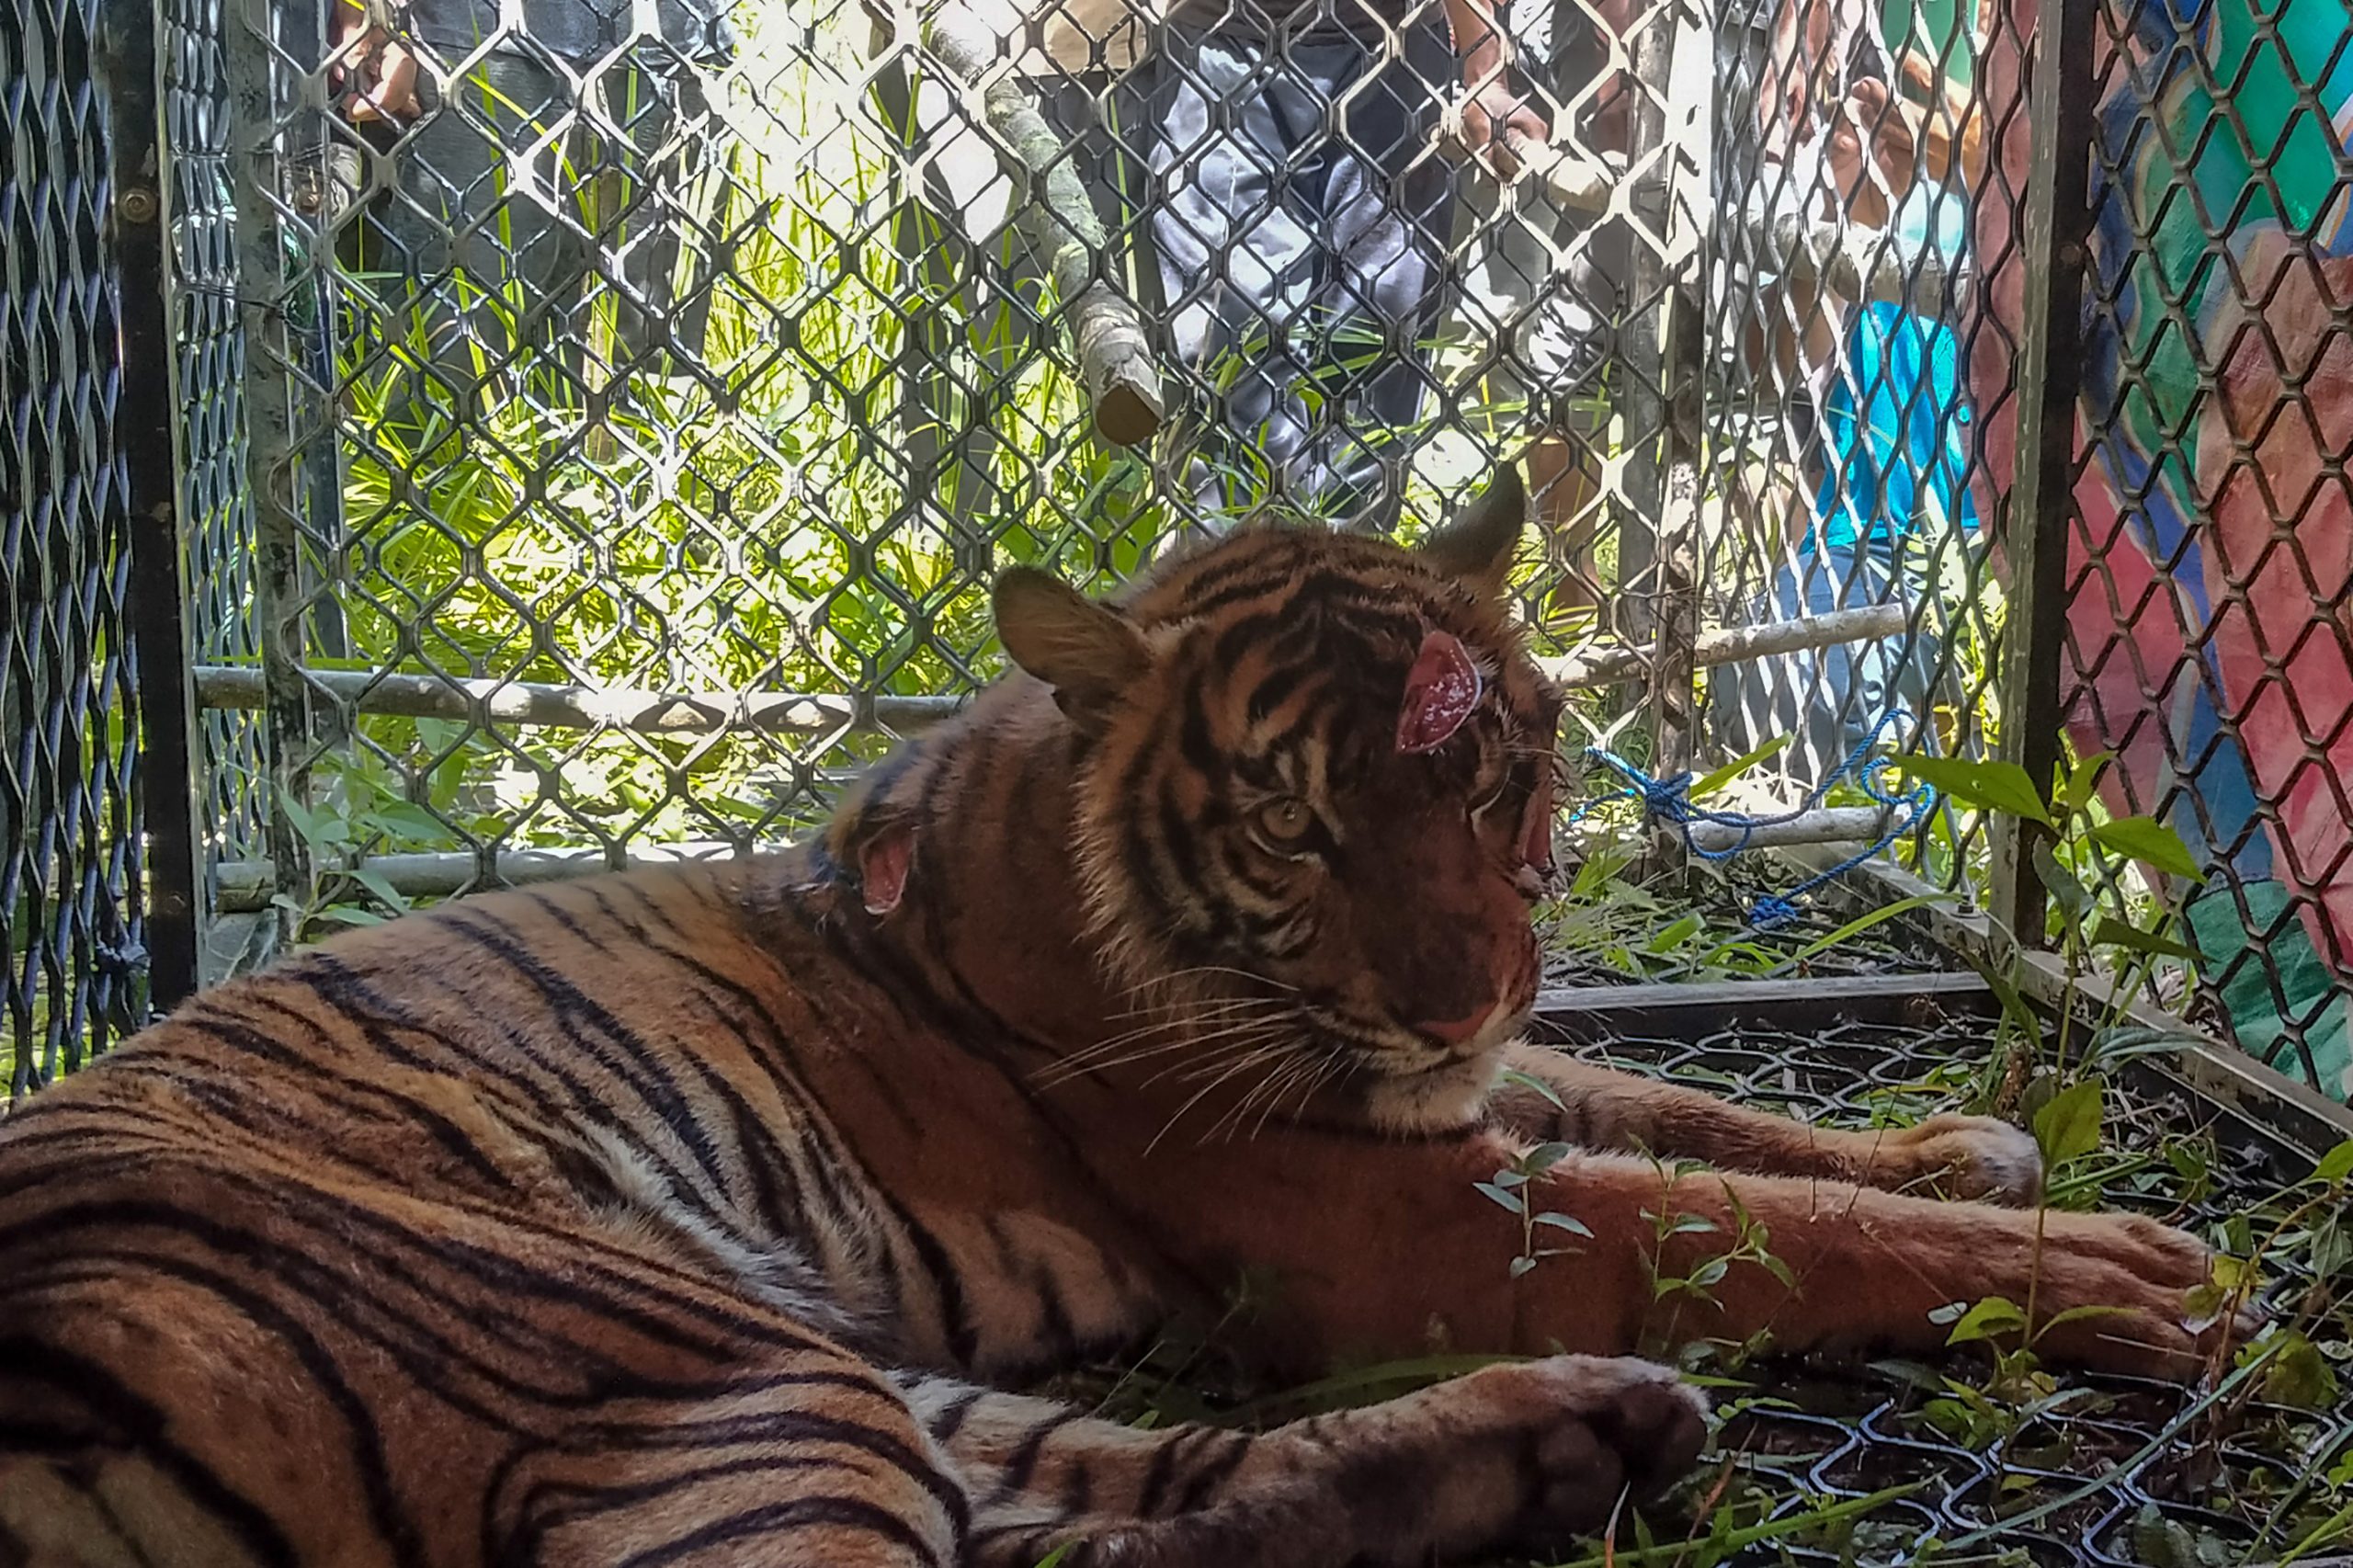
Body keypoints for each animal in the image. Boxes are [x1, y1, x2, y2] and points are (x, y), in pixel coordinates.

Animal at [0, 466, 2244, 1568]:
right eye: (1295, 825)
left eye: (1492, 779)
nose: (1458, 988)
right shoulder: (1376, 1211)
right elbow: (1743, 1213)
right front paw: (2118, 1266)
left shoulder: (1450, 1101)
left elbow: (1680, 1107)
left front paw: (1959, 1144)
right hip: (656, 1359)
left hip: (788, 1371)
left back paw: (1579, 1436)